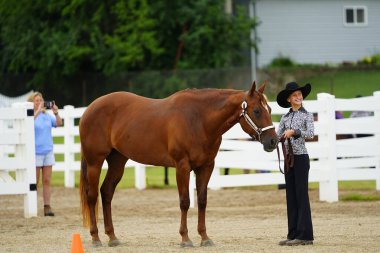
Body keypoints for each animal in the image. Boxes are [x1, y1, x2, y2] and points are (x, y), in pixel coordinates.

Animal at [79, 81, 276, 247]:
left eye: (270, 109)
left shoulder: (206, 167)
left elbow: (202, 201)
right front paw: (185, 239)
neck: (199, 119)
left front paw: (204, 238)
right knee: (92, 196)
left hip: (117, 161)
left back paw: (112, 237)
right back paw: (96, 238)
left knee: (106, 193)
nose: (273, 141)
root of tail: (90, 108)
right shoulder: (182, 166)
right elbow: (185, 201)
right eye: (257, 111)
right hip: (94, 162)